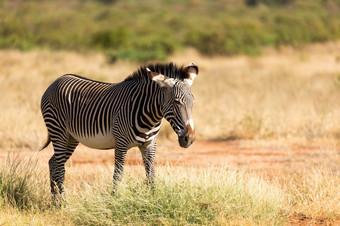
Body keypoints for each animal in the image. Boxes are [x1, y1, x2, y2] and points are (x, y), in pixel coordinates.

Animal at [39, 61, 198, 198]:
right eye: (176, 102)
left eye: (193, 101)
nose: (189, 139)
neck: (150, 117)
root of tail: (57, 79)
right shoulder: (121, 143)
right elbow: (118, 174)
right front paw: (113, 200)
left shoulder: (149, 144)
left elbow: (151, 174)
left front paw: (154, 199)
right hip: (58, 131)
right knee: (60, 168)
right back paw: (63, 203)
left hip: (71, 138)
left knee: (53, 163)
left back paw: (54, 201)